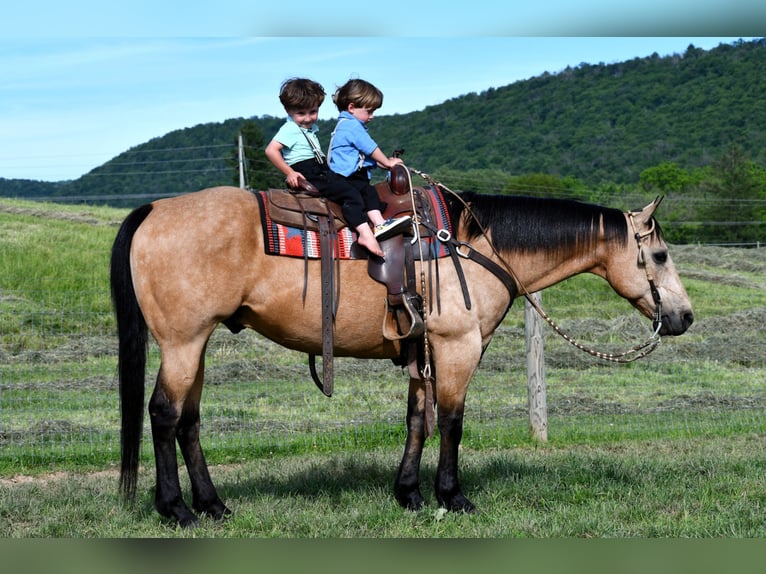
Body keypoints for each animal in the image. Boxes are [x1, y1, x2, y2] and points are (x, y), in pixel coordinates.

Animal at [112, 180, 696, 528]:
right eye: (659, 255)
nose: (685, 317)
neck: (476, 246)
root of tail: (154, 210)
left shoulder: (424, 351)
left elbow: (418, 419)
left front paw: (409, 493)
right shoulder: (458, 347)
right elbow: (452, 422)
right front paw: (452, 496)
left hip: (197, 343)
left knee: (189, 421)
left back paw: (213, 505)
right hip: (183, 342)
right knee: (163, 415)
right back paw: (177, 510)